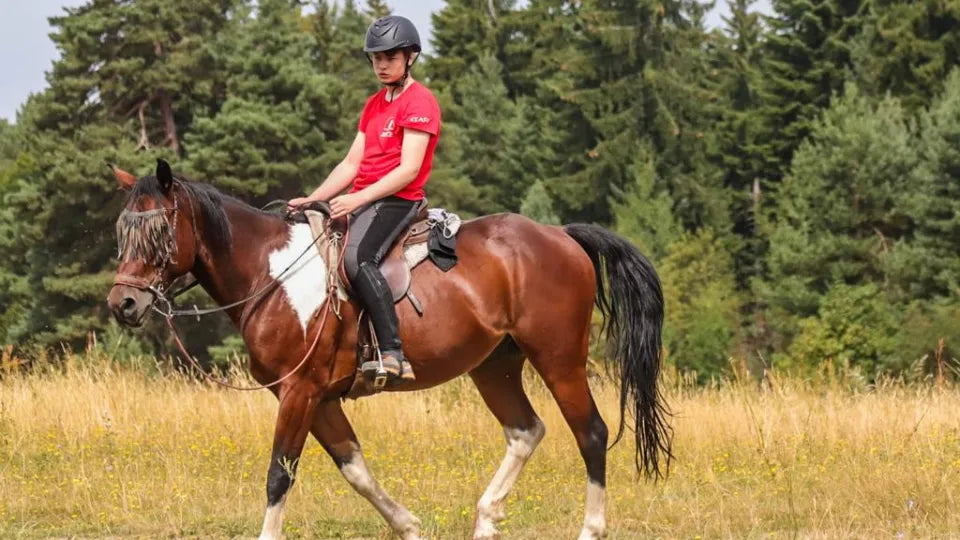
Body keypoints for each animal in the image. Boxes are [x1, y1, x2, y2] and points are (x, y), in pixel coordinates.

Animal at [106, 159, 672, 540]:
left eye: (159, 231)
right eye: (121, 231)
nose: (123, 303)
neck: (271, 277)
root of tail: (561, 235)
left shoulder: (299, 393)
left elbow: (278, 475)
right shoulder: (319, 399)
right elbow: (354, 468)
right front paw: (409, 524)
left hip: (558, 359)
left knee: (591, 433)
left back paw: (589, 527)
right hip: (495, 366)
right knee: (525, 431)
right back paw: (487, 518)